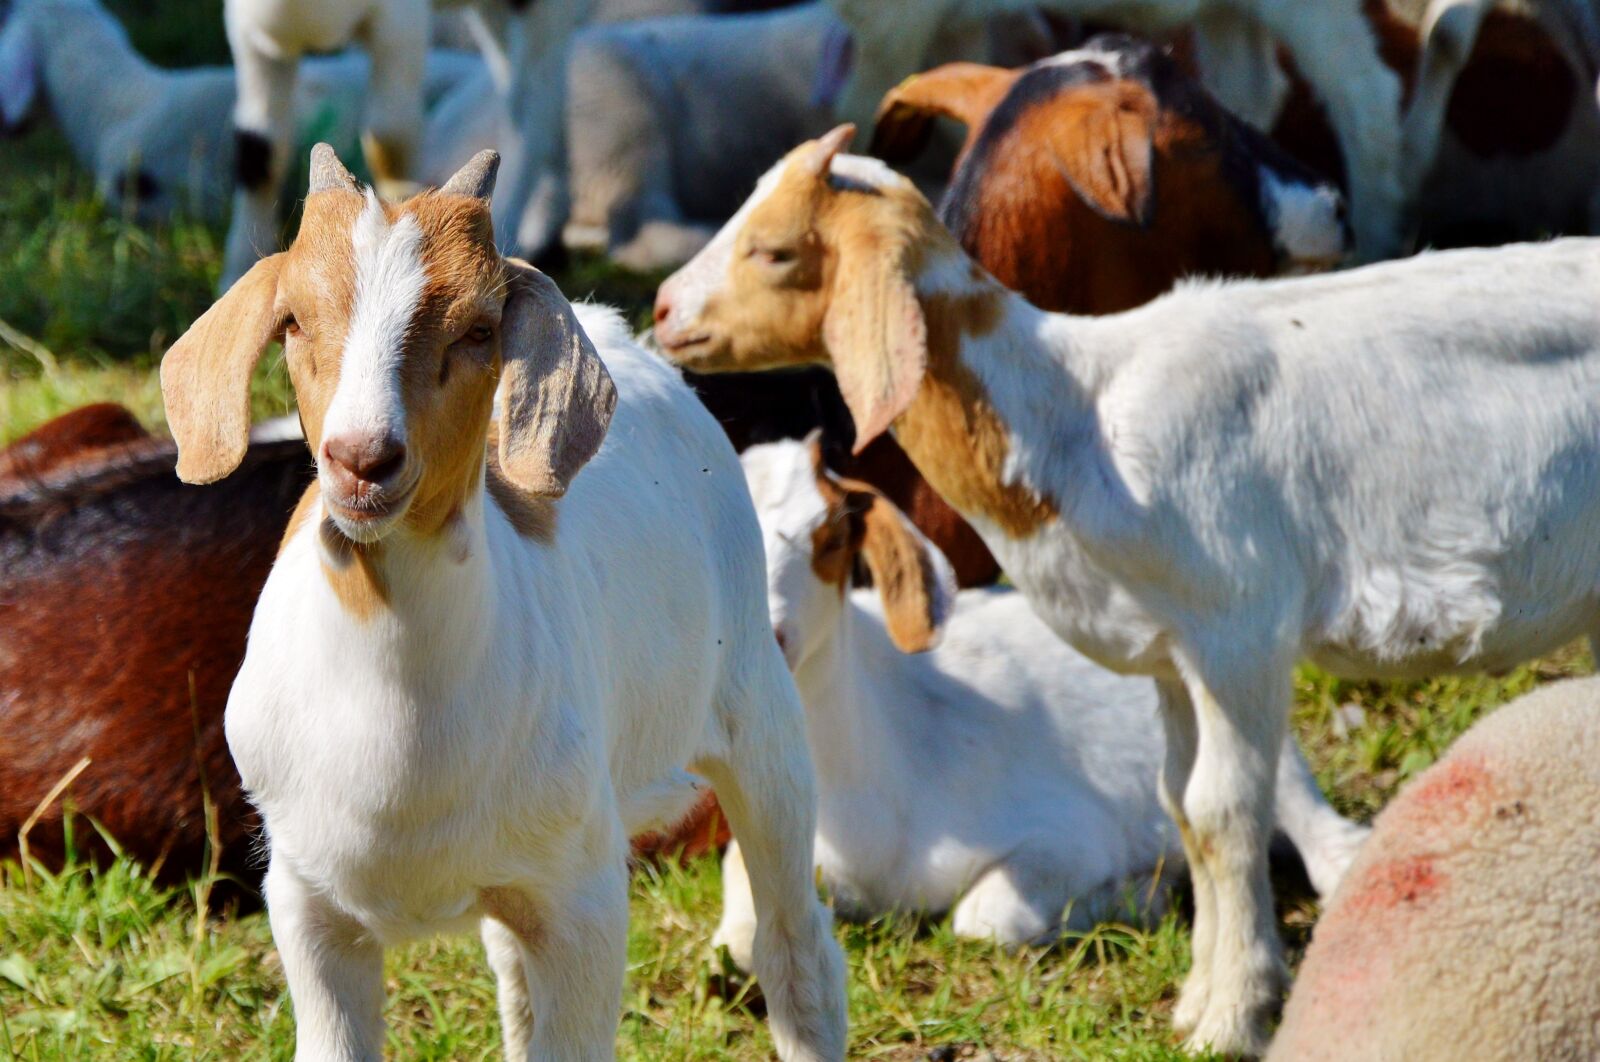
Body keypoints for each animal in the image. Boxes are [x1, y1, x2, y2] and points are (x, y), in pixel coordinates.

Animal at [159, 145, 845, 1060]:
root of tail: (616, 332)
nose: (362, 459)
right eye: (295, 322)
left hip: (760, 713)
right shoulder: (308, 904)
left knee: (794, 946)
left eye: (478, 330)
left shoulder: (585, 897)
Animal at [713, 438, 1367, 960]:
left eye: (831, 536)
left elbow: (984, 920)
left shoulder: (1065, 834)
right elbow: (742, 917)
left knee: (1323, 842)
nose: (766, 637)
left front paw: (1133, 895)